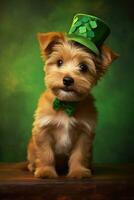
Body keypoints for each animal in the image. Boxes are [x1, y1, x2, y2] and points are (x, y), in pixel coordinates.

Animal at [27, 32, 118, 179]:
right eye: (59, 62)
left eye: (83, 67)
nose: (68, 80)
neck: (66, 104)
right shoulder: (43, 129)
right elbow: (46, 153)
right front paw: (46, 171)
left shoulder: (84, 132)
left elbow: (79, 154)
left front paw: (78, 171)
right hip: (30, 147)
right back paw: (32, 166)